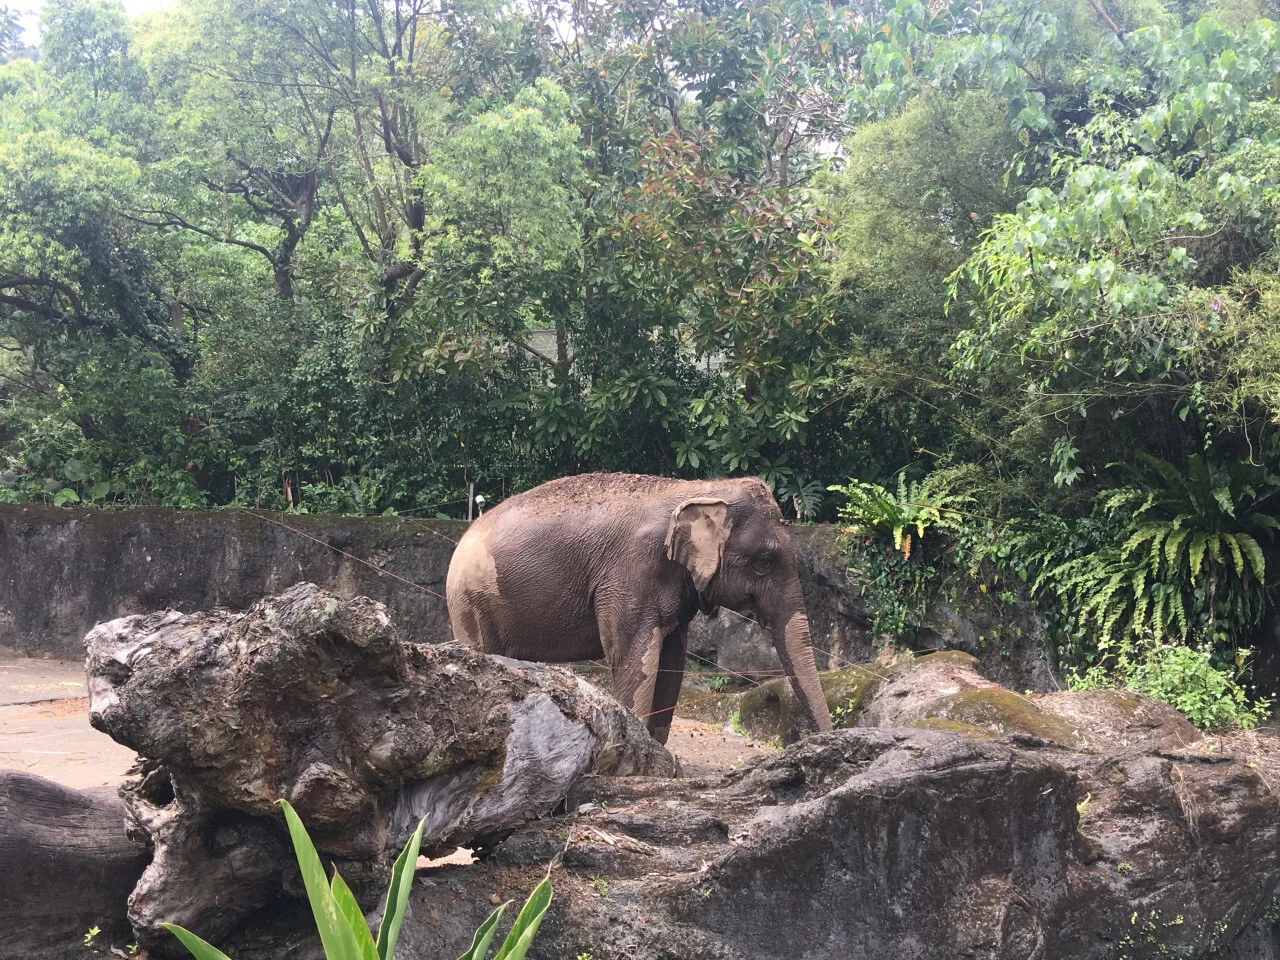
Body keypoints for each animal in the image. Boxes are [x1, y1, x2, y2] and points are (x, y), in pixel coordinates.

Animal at [445, 473, 834, 742]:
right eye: (764, 562)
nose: (819, 741)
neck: (702, 488)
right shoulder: (630, 573)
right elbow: (634, 659)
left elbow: (672, 663)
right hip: (471, 602)